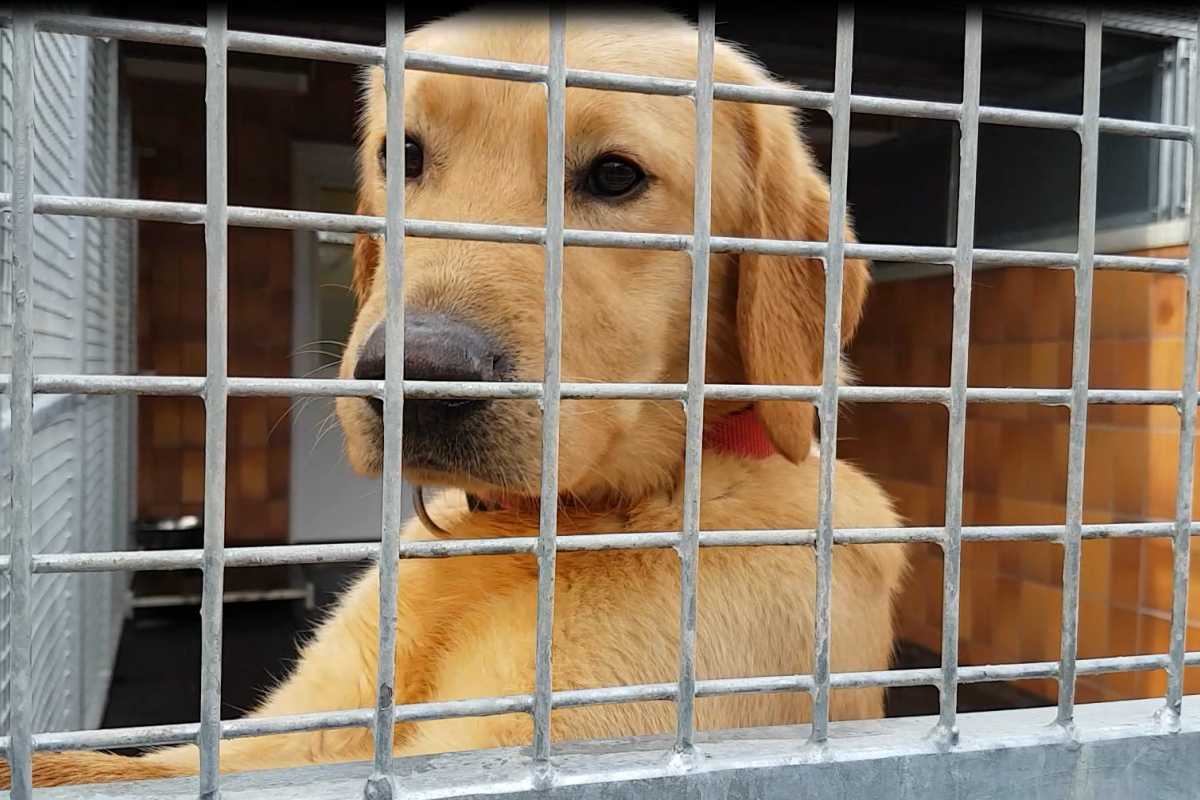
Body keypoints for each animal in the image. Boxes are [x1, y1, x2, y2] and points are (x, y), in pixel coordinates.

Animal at [4, 7, 907, 796]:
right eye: (401, 155)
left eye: (616, 175)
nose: (418, 378)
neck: (557, 522)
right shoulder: (296, 732)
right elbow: (97, 766)